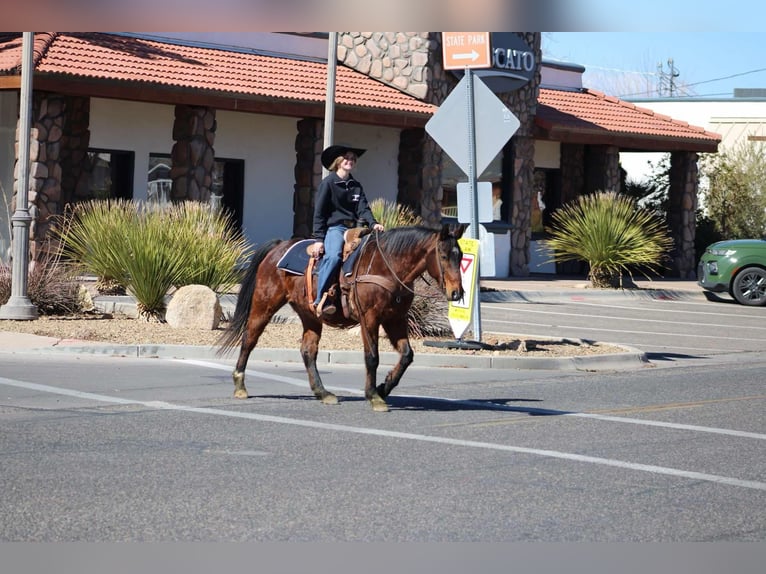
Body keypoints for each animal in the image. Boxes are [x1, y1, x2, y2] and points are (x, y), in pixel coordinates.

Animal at [217, 223, 465, 412]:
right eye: (444, 255)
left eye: (461, 255)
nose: (457, 293)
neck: (386, 266)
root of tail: (278, 246)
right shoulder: (369, 318)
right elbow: (372, 357)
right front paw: (373, 396)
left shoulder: (395, 319)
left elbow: (407, 355)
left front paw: (383, 388)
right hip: (264, 304)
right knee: (249, 339)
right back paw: (240, 385)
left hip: (310, 315)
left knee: (308, 351)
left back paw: (323, 392)